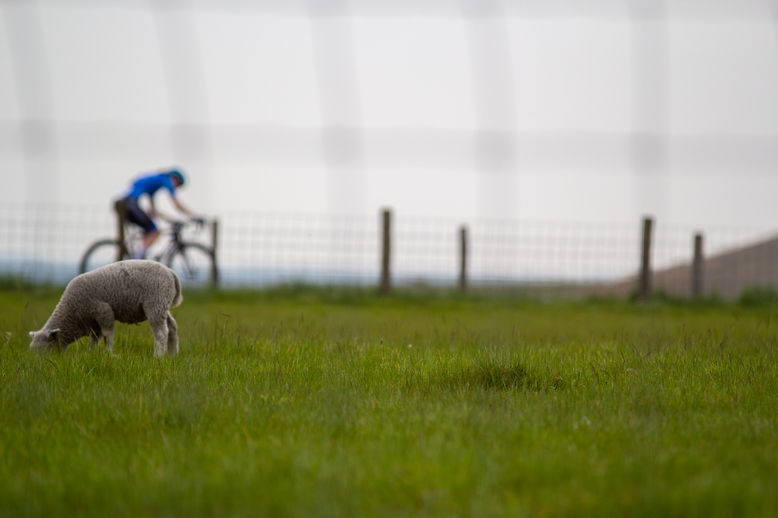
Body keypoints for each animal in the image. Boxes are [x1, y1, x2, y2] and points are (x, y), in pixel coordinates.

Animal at [28, 262, 183, 360]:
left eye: (43, 349)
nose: (36, 365)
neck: (71, 313)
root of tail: (170, 272)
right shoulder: (93, 323)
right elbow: (94, 340)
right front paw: (90, 354)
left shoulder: (103, 311)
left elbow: (108, 336)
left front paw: (109, 354)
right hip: (162, 306)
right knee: (173, 327)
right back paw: (173, 355)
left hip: (155, 303)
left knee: (161, 332)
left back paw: (158, 357)